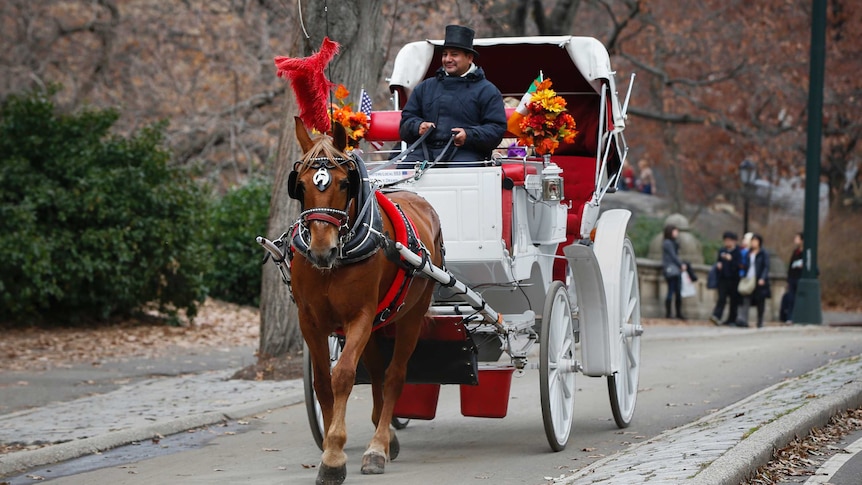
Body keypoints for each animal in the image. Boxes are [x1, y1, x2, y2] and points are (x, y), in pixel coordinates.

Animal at [290, 118, 446, 484]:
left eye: (345, 183)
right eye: (300, 186)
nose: (321, 250)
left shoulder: (359, 316)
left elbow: (344, 375)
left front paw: (334, 455)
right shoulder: (310, 321)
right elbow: (323, 382)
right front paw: (330, 448)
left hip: (411, 316)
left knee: (394, 375)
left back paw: (377, 446)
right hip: (377, 323)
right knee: (376, 370)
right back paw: (385, 434)